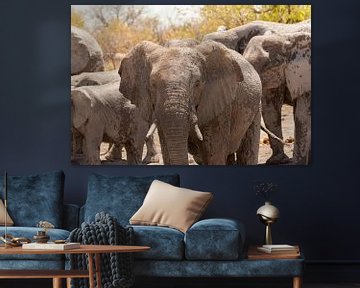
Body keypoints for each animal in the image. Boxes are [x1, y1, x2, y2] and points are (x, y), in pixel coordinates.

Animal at [119, 40, 262, 164]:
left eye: (197, 84)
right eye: (153, 84)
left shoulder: (219, 103)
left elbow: (214, 155)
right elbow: (167, 152)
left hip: (256, 106)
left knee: (247, 152)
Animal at [243, 32, 310, 164]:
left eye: (265, 66)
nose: (287, 142)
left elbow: (302, 117)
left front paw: (296, 163)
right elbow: (270, 110)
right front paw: (277, 161)